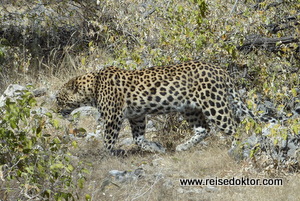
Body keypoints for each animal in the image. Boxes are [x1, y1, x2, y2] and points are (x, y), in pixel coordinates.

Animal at [55, 59, 276, 155]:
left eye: (58, 98)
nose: (56, 111)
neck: (93, 87)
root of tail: (220, 70)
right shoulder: (136, 116)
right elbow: (138, 138)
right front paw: (156, 148)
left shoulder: (113, 117)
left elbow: (108, 139)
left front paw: (106, 156)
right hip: (190, 109)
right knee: (203, 129)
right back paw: (182, 147)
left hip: (214, 105)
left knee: (234, 126)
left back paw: (233, 150)